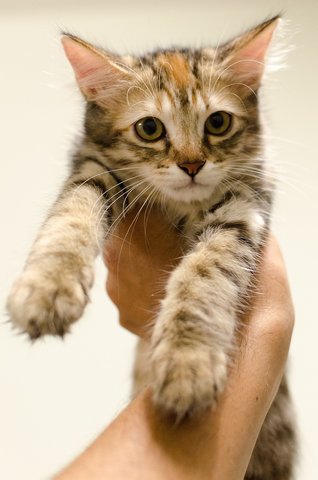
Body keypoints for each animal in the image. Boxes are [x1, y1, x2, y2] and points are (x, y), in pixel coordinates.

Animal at [6, 16, 296, 478]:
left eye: (217, 123)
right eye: (150, 128)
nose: (192, 164)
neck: (180, 207)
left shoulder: (241, 211)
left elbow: (203, 278)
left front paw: (186, 365)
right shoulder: (91, 173)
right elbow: (69, 221)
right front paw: (47, 290)